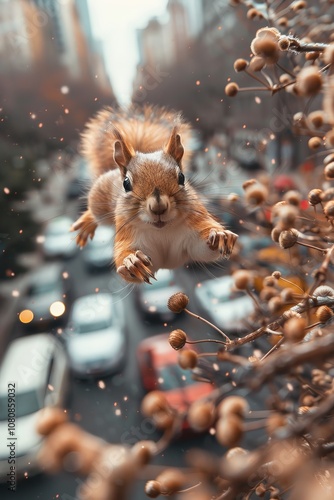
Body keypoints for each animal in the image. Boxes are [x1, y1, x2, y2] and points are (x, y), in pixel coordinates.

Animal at [71, 105, 237, 284]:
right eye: (126, 184)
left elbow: (203, 250)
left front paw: (220, 236)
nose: (158, 207)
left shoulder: (194, 230)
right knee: (96, 213)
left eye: (182, 177)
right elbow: (125, 258)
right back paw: (87, 223)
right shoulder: (128, 236)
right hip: (99, 198)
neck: (161, 231)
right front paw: (131, 262)